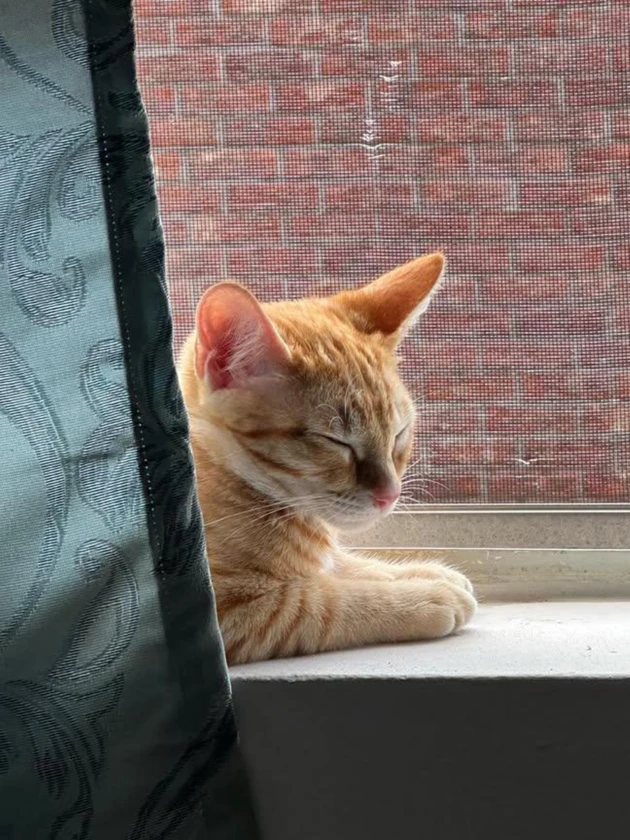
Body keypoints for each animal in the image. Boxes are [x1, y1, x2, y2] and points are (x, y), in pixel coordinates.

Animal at [178, 252, 476, 665]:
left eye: (399, 433)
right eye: (335, 441)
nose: (390, 495)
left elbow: (341, 563)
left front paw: (422, 573)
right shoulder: (229, 614)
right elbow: (323, 601)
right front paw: (424, 596)